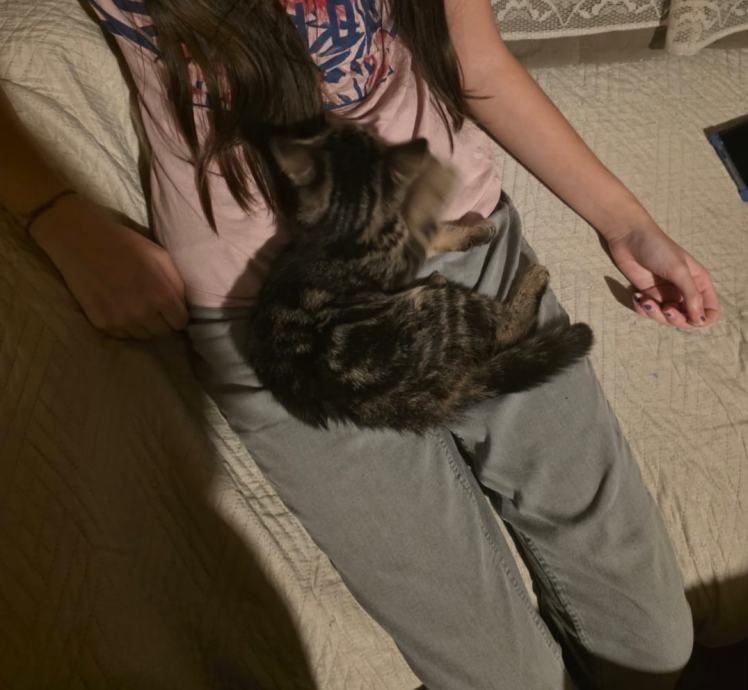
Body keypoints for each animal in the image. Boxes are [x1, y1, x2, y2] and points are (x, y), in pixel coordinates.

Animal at [246, 123, 593, 433]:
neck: (344, 220)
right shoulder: (402, 253)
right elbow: (424, 225)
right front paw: (458, 207)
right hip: (444, 304)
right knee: (506, 328)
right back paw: (529, 277)